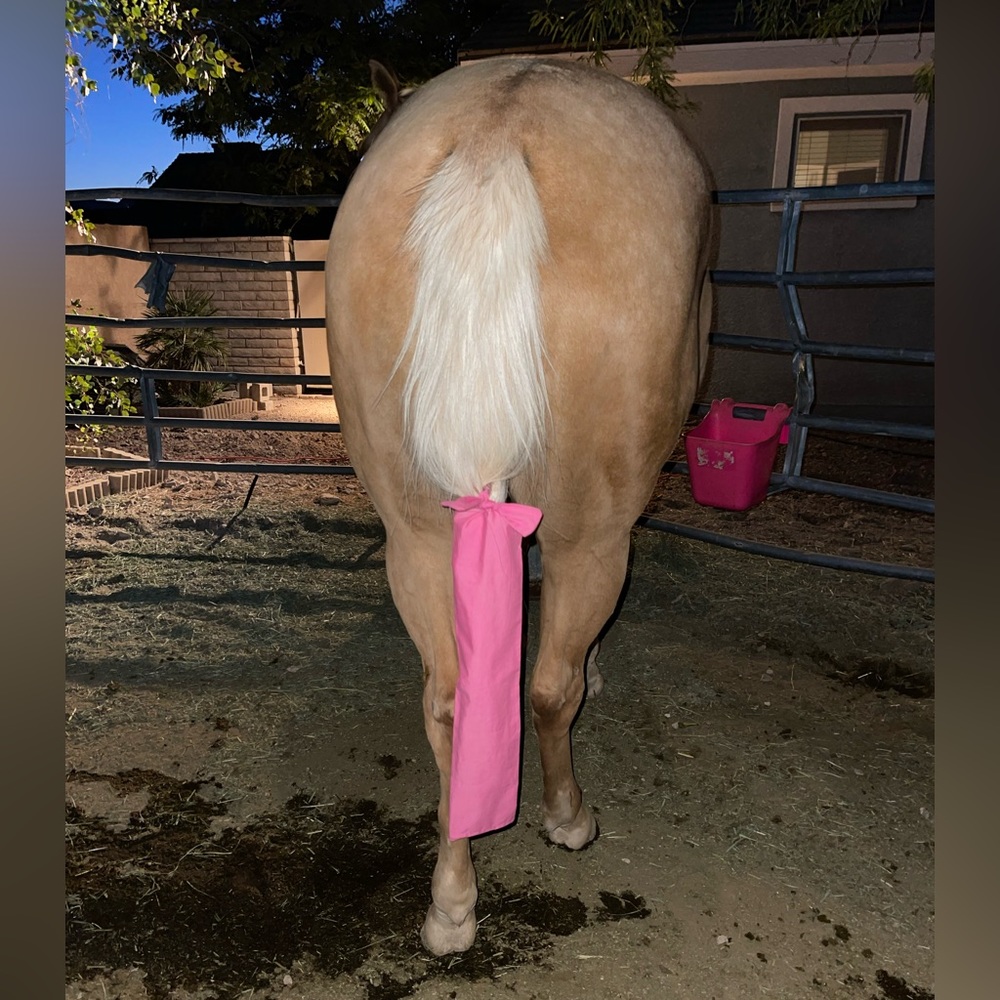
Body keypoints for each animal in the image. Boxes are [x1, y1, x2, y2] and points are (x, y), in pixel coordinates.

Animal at [325, 55, 713, 956]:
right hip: (593, 533)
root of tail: (497, 128)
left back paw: (451, 904)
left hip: (416, 536)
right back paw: (567, 817)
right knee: (547, 687)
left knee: (448, 701)